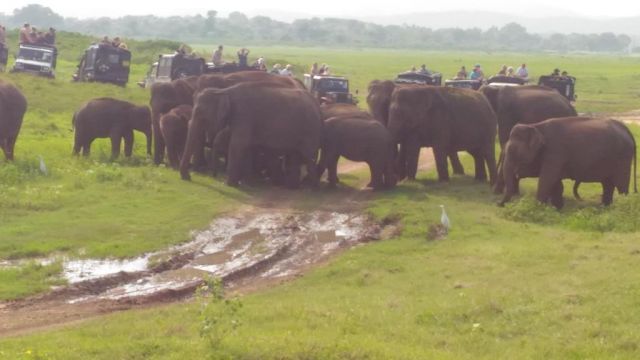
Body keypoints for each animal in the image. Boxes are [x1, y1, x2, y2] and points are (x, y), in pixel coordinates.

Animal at [180, 82, 322, 187]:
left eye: (200, 113)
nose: (188, 177)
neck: (224, 91)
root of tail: (316, 103)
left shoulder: (244, 115)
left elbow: (237, 145)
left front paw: (229, 184)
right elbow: (247, 147)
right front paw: (245, 183)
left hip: (310, 130)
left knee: (309, 157)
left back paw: (311, 188)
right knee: (295, 155)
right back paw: (291, 186)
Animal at [502, 116, 636, 208]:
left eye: (513, 152)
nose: (500, 205)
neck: (536, 126)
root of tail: (627, 130)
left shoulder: (555, 153)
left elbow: (547, 180)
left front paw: (538, 207)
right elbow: (556, 183)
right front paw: (557, 209)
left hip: (623, 158)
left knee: (621, 186)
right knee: (608, 184)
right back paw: (605, 209)